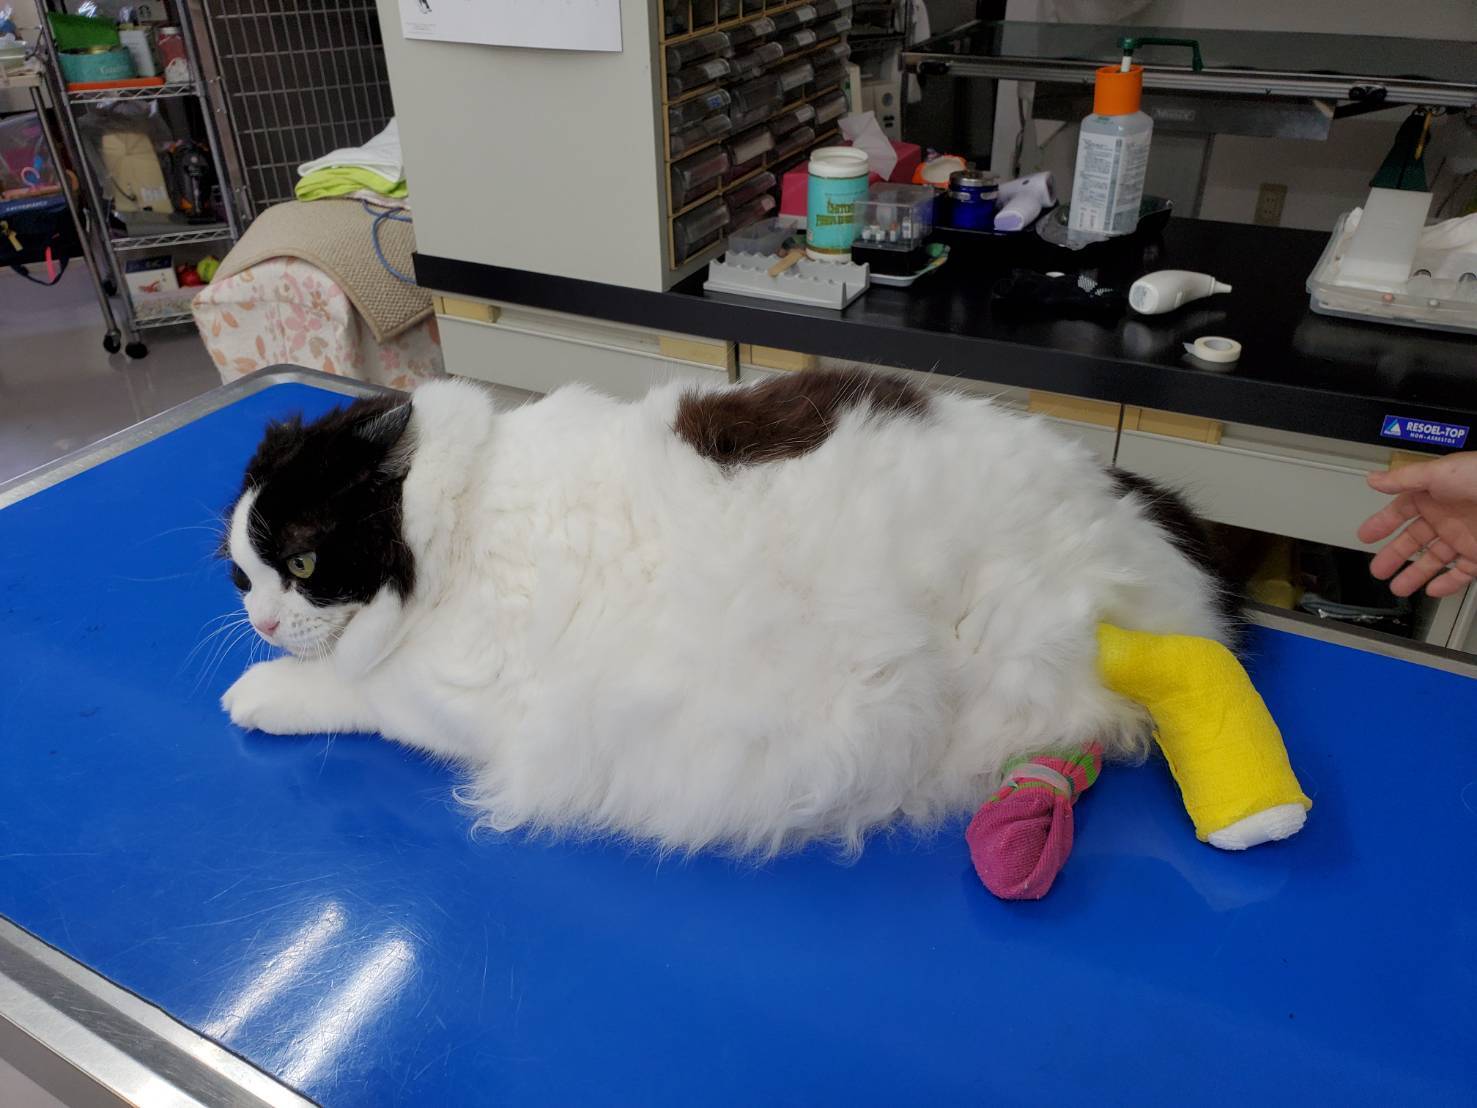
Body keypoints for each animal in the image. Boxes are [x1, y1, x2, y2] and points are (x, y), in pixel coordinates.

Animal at [221, 369, 1234, 856]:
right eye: (241, 578)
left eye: (302, 565)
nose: (261, 622)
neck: (461, 517)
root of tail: (1137, 506)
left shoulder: (457, 703)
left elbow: (354, 690)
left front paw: (259, 691)